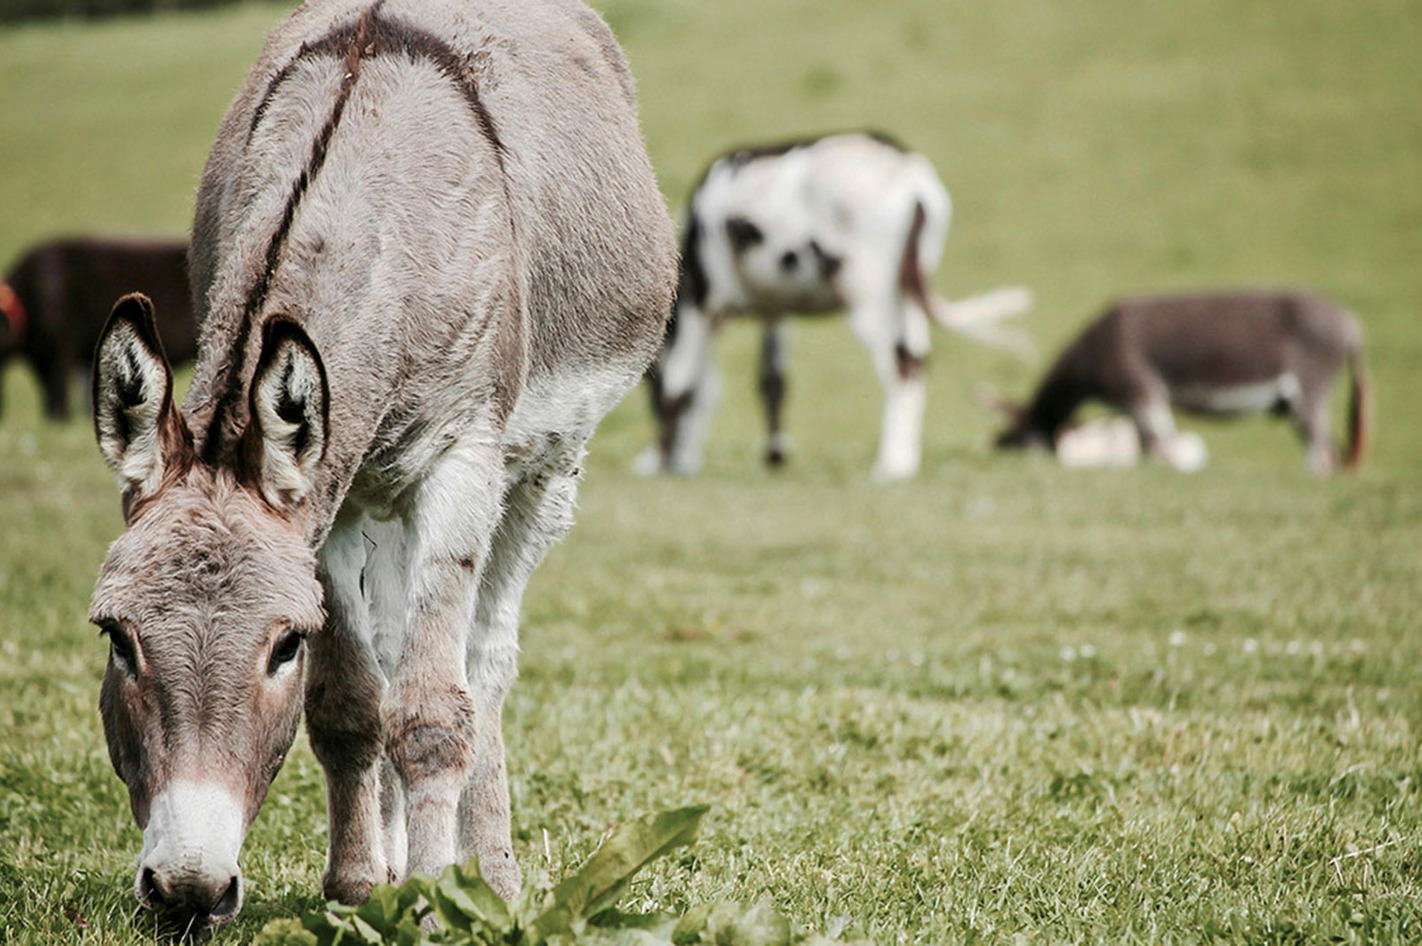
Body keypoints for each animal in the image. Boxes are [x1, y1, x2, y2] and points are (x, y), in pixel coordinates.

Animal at [639, 133, 1029, 480]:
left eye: (648, 387)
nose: (679, 460)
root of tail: (906, 172)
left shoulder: (700, 300)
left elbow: (680, 384)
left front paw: (657, 460)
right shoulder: (776, 307)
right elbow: (771, 381)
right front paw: (774, 455)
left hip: (868, 292)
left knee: (900, 364)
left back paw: (893, 464)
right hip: (906, 291)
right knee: (917, 359)